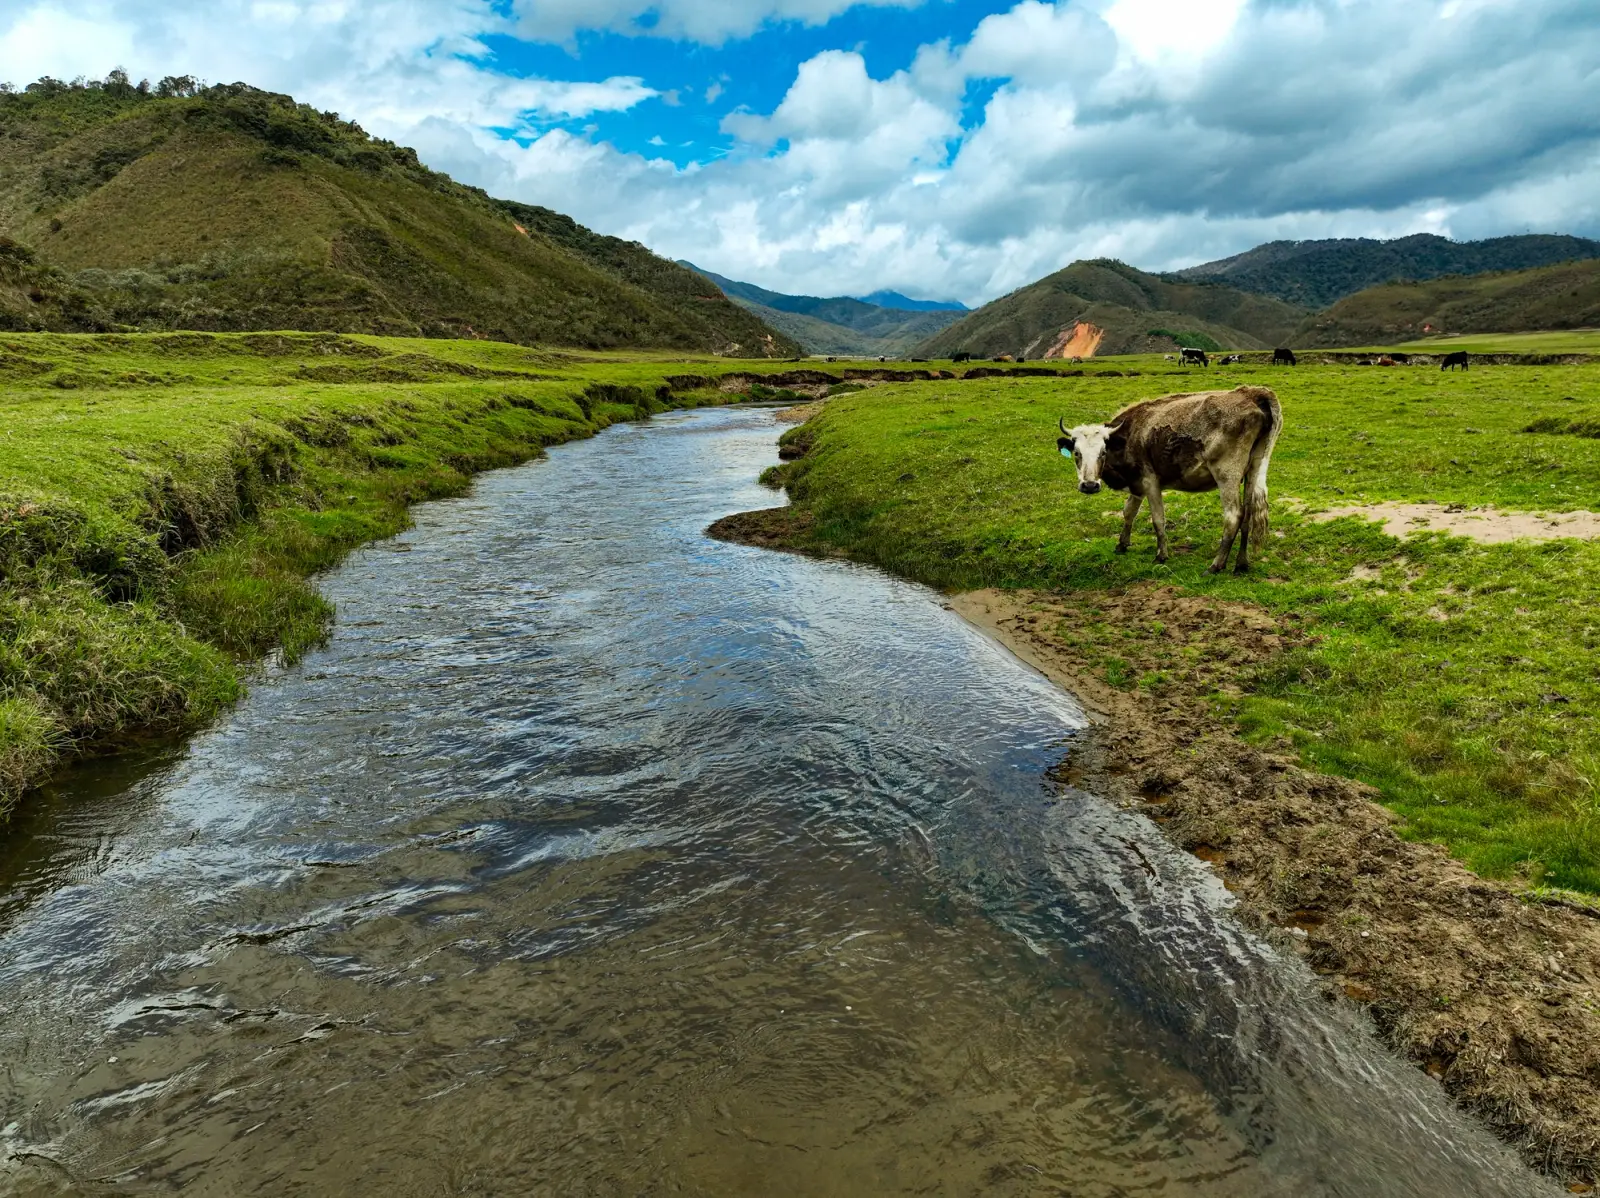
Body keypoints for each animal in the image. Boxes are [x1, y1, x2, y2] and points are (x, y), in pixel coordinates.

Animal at [1056, 386, 1283, 574]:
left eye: (1103, 452)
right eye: (1077, 453)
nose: (1089, 486)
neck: (1129, 434)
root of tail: (1251, 393)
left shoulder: (1150, 481)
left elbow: (1158, 519)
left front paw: (1161, 555)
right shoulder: (1136, 484)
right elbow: (1129, 512)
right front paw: (1122, 544)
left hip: (1227, 475)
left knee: (1234, 515)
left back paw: (1216, 565)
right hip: (1253, 469)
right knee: (1248, 515)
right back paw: (1241, 563)